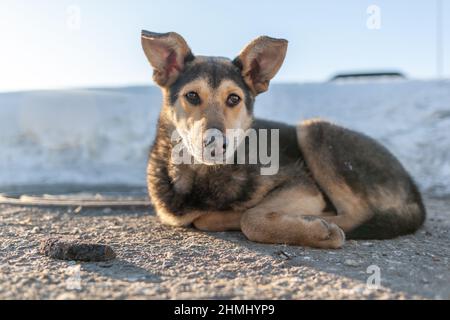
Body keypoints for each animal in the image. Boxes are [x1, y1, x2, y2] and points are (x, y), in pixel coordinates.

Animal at [142, 30, 426, 250]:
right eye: (192, 96)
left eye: (233, 99)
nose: (216, 145)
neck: (204, 174)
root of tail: (413, 191)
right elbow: (212, 218)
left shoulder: (304, 187)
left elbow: (249, 218)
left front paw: (312, 229)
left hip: (314, 130)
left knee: (358, 213)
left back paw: (320, 223)